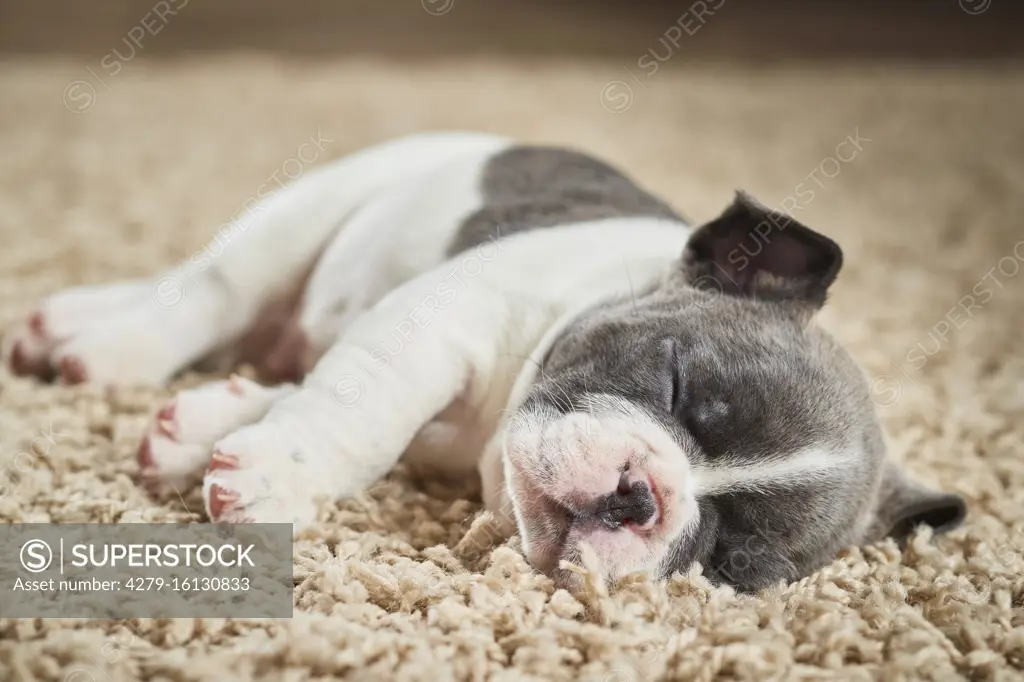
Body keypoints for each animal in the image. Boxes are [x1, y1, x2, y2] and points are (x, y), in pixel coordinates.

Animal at [2, 131, 966, 589]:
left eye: (734, 561)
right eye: (673, 377)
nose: (641, 497)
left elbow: (325, 391)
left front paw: (220, 435)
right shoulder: (437, 319)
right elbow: (362, 411)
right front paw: (280, 476)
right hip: (313, 209)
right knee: (205, 288)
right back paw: (99, 339)